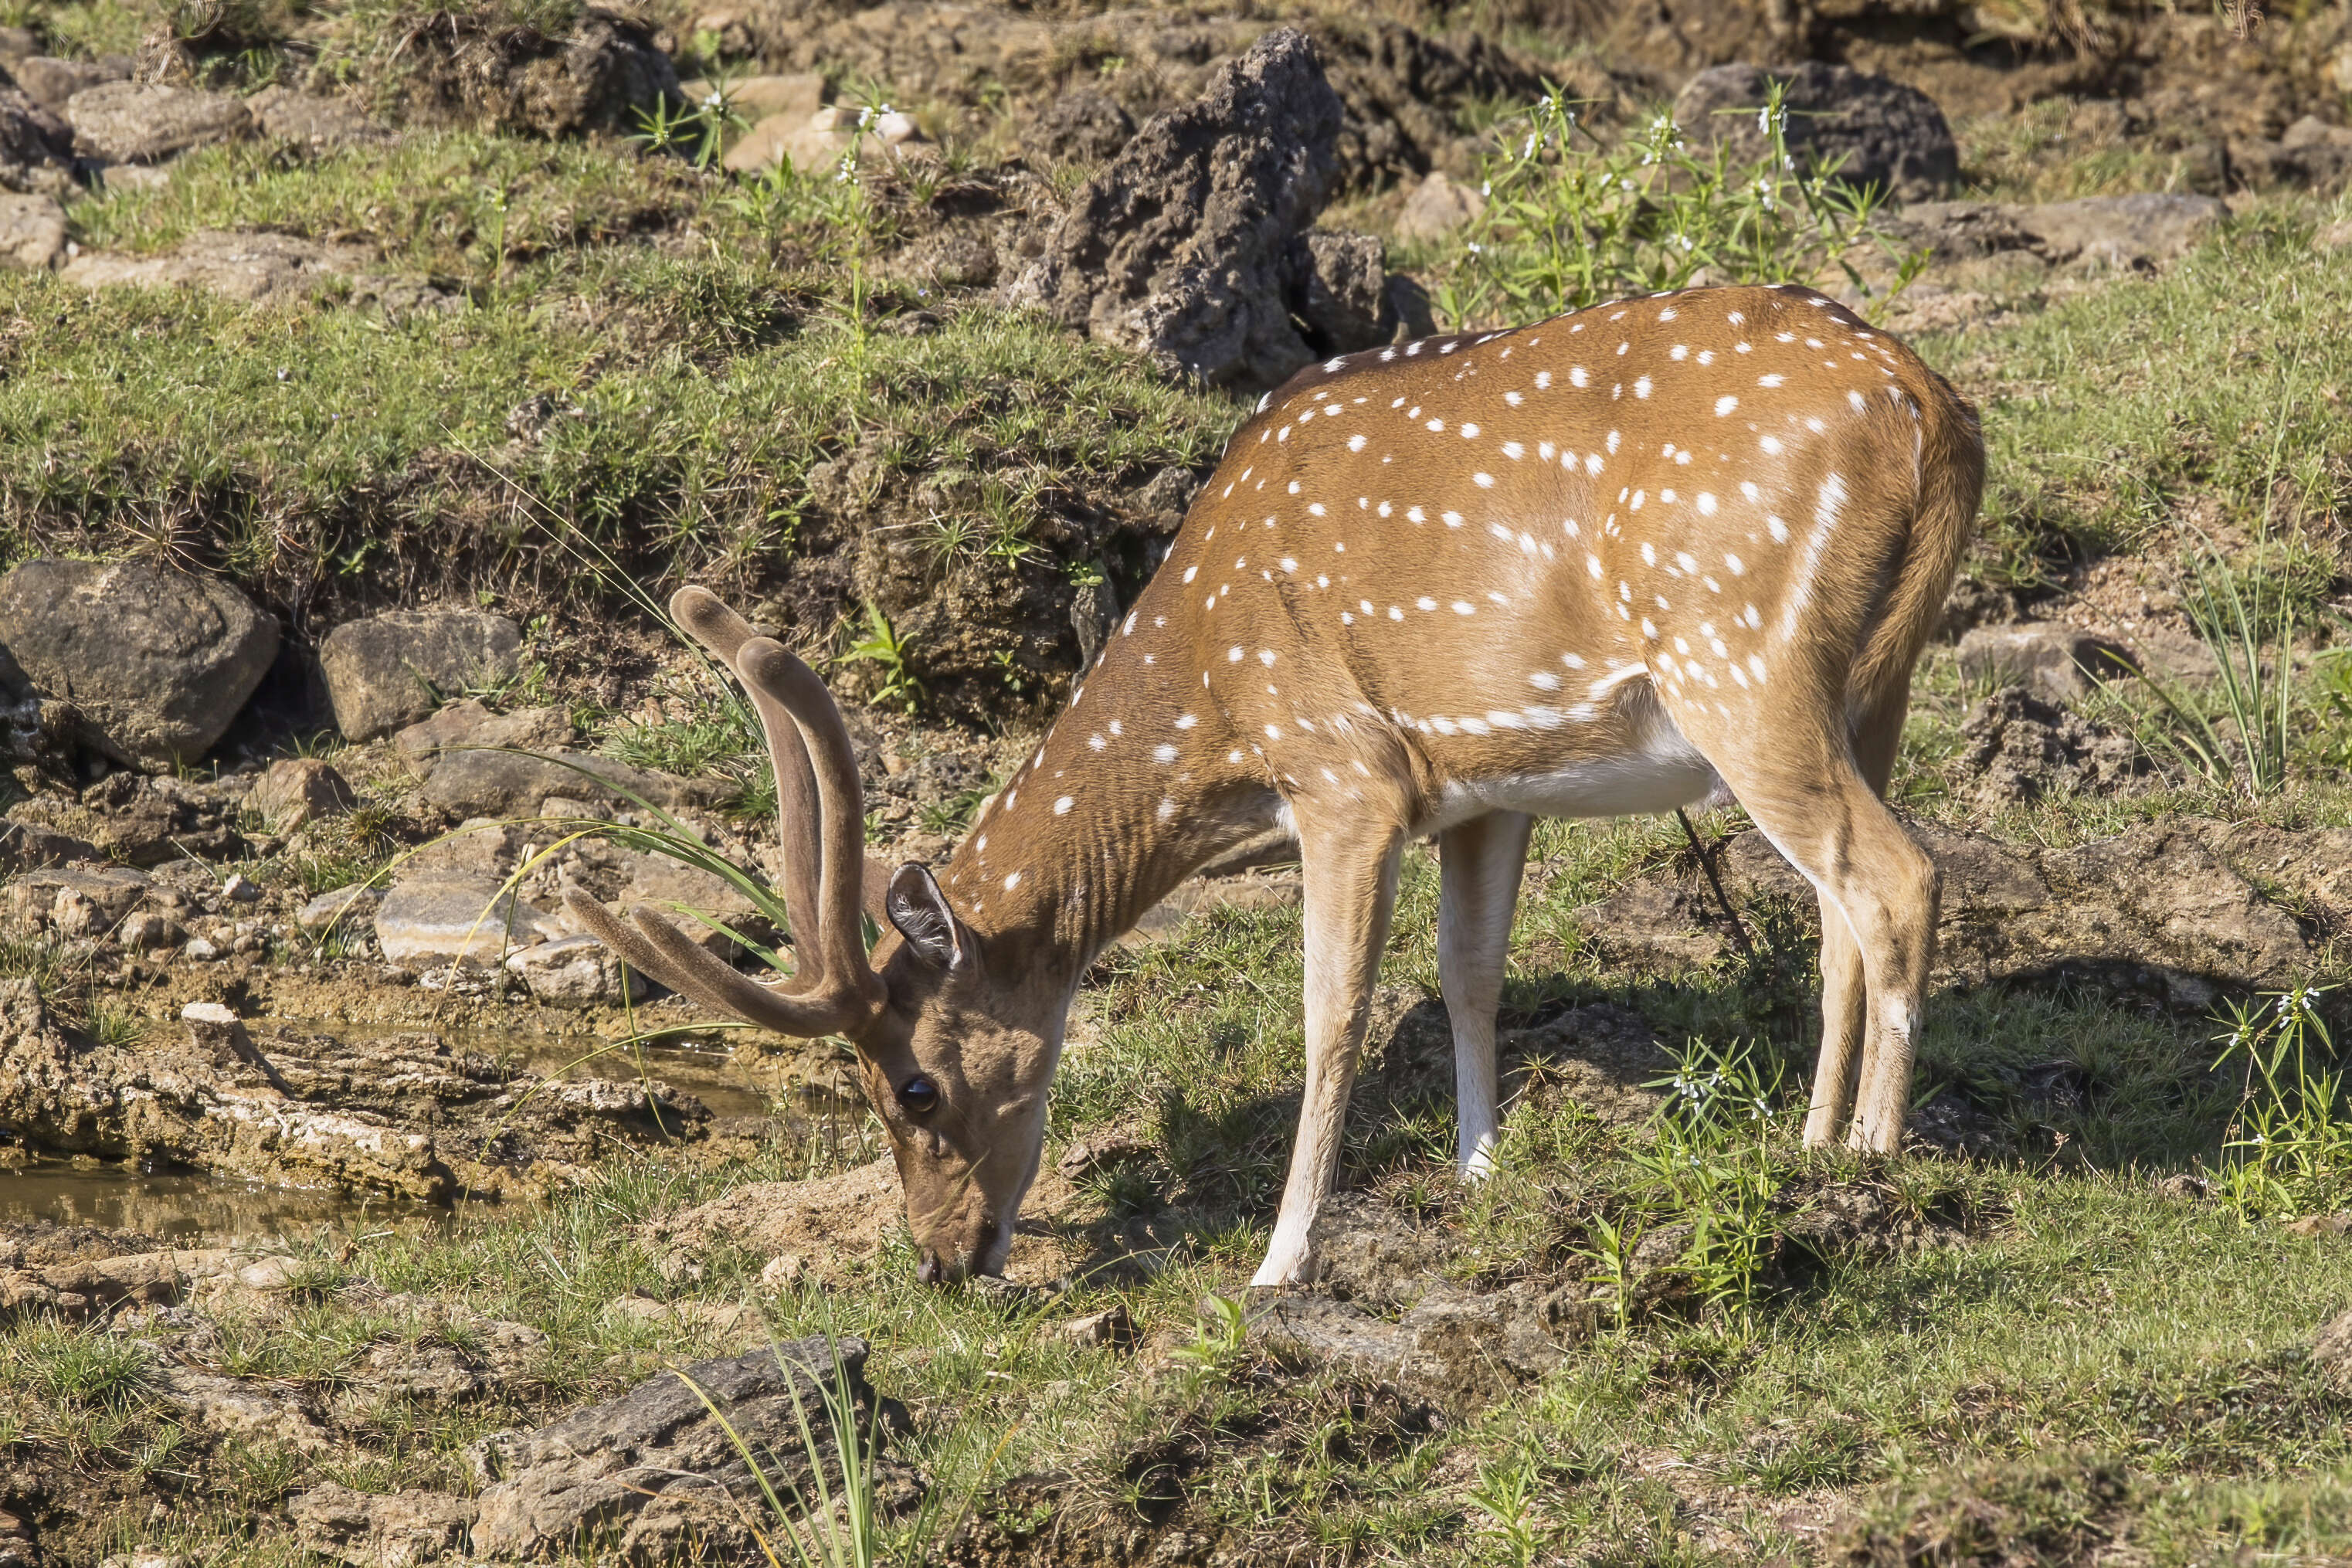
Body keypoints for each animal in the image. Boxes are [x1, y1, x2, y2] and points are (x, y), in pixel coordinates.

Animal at [568, 282, 1984, 1288]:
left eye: (910, 1085)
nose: (940, 1258)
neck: (1213, 707)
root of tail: (1934, 410)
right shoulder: (1485, 785)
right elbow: (1469, 975)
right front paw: (1479, 1173)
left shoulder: (1345, 773)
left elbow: (1331, 1010)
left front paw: (1280, 1258)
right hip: (1869, 683)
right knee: (1840, 905)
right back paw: (1809, 1144)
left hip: (1735, 652)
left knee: (1898, 873)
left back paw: (1874, 1159)